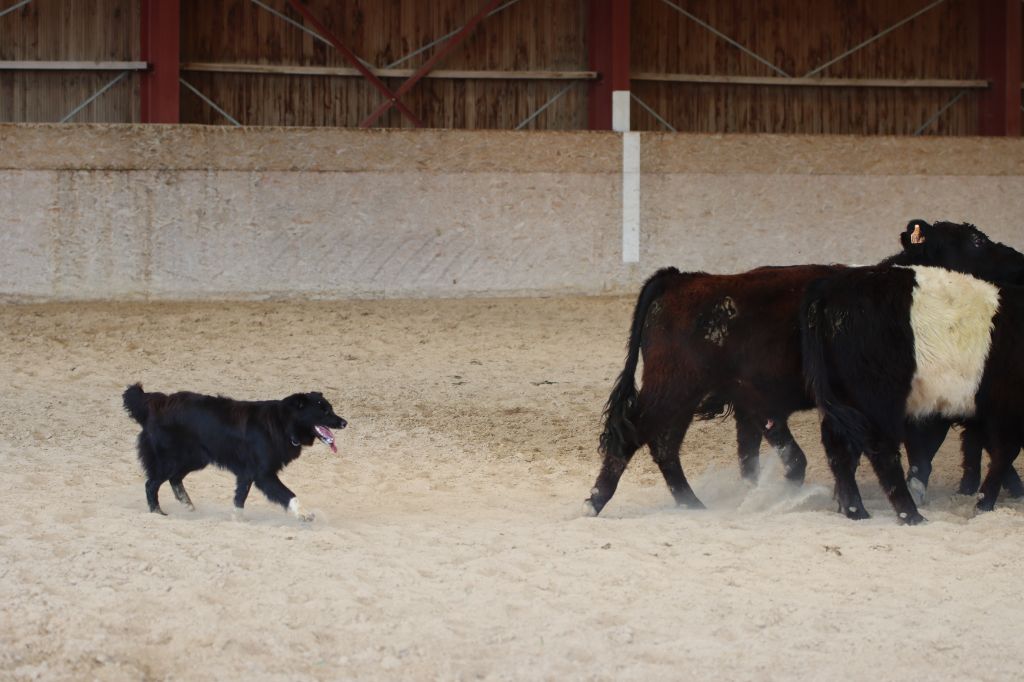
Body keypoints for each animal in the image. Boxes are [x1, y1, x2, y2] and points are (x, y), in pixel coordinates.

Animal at [121, 382, 346, 520]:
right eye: (324, 411)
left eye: (330, 408)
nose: (345, 422)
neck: (283, 423)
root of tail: (154, 404)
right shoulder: (263, 474)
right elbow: (289, 494)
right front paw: (304, 515)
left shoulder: (247, 473)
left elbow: (240, 498)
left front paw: (237, 519)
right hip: (170, 459)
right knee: (151, 484)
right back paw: (158, 513)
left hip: (193, 458)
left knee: (175, 479)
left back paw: (189, 507)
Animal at [802, 261, 1019, 520]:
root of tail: (829, 292)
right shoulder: (1006, 411)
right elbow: (1003, 454)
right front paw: (984, 503)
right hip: (877, 401)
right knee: (882, 452)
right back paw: (910, 514)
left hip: (845, 401)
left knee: (840, 450)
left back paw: (856, 510)